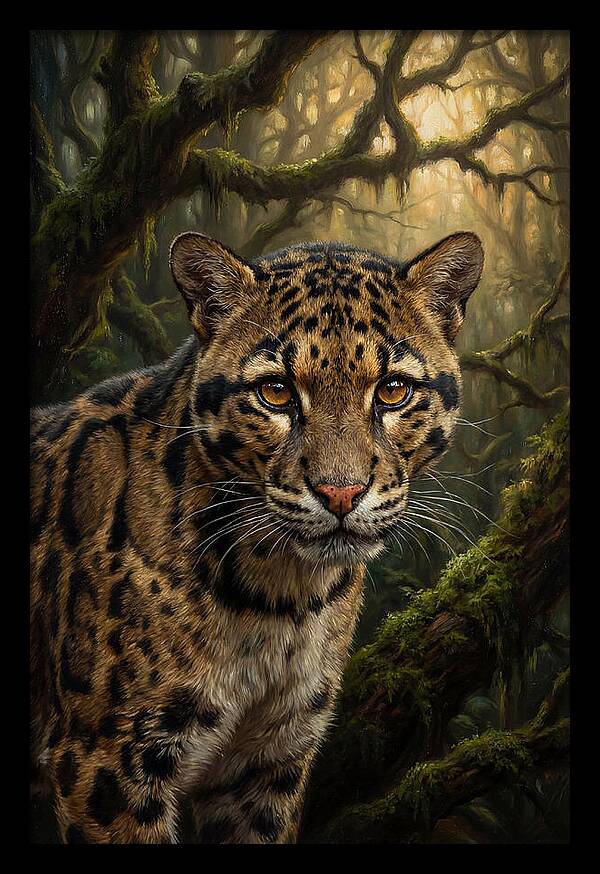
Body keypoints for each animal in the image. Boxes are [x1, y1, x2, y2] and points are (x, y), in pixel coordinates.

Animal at [30, 229, 483, 843]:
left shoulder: (270, 760)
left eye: (392, 391)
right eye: (276, 392)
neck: (280, 596)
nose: (340, 493)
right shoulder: (106, 758)